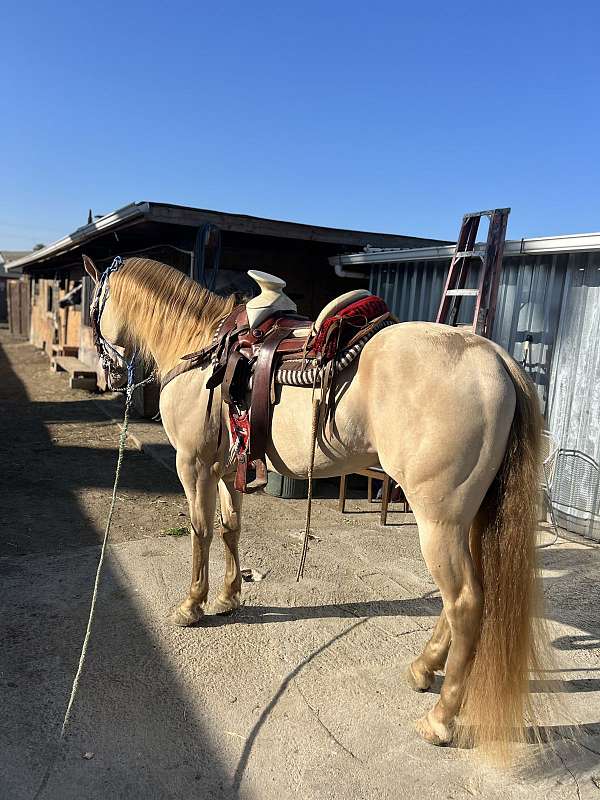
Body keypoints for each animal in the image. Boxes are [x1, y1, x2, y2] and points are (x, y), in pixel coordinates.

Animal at [82, 253, 547, 758]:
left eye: (94, 305)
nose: (107, 373)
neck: (198, 347)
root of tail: (495, 358)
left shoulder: (193, 464)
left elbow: (200, 530)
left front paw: (192, 605)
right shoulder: (226, 468)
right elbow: (229, 528)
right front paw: (228, 597)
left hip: (438, 521)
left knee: (463, 601)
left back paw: (439, 720)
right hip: (465, 519)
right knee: (462, 597)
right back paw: (423, 668)